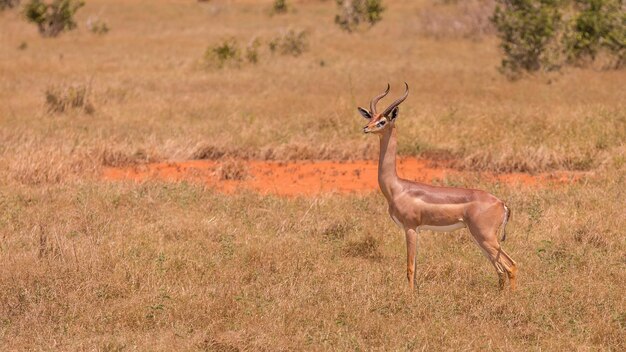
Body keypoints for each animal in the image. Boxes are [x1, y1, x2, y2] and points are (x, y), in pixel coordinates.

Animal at [356, 84, 516, 290]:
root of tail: (501, 204)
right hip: (479, 238)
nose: (366, 128)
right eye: (371, 117)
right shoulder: (415, 230)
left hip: (486, 237)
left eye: (382, 121)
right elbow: (415, 269)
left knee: (510, 265)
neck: (397, 188)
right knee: (500, 270)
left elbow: (410, 268)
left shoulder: (410, 228)